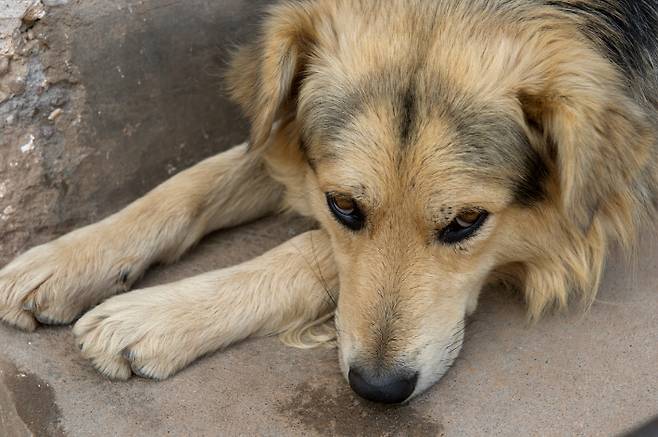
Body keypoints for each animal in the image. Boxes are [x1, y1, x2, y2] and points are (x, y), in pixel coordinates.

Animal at [0, 0, 652, 404]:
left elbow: (306, 249)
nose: (378, 390)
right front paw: (65, 259)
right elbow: (194, 182)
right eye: (344, 206)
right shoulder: (289, 143)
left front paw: (154, 315)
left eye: (467, 221)